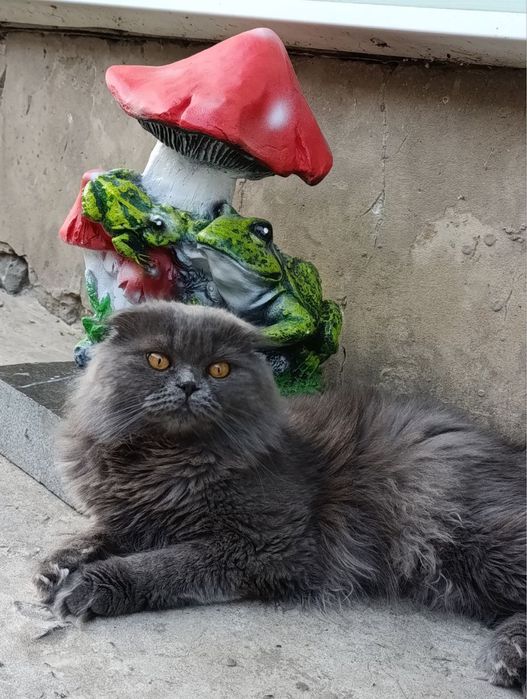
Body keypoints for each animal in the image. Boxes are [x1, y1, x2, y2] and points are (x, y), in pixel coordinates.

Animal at [34, 301, 526, 693]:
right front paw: (55, 566)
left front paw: (89, 585)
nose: (190, 386)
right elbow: (96, 534)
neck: (167, 461)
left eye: (219, 369)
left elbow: (159, 565)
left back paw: (507, 660)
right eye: (159, 360)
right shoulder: (135, 517)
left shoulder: (264, 545)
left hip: (468, 535)